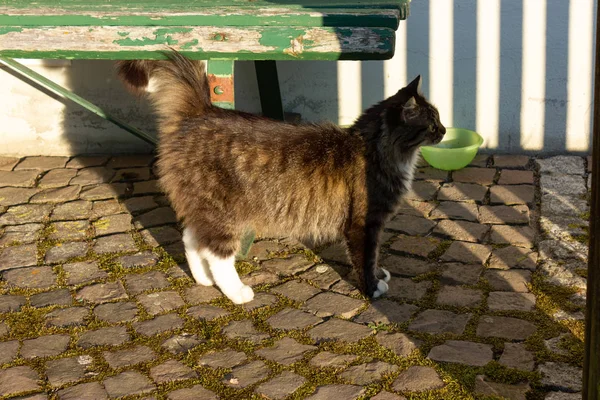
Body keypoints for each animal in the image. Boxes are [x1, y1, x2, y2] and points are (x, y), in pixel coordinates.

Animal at [117, 53, 446, 304]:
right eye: (432, 124)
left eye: (439, 119)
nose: (444, 131)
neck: (376, 148)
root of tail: (201, 111)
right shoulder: (364, 224)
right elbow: (365, 258)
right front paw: (372, 287)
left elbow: (373, 257)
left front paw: (378, 275)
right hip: (224, 213)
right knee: (216, 254)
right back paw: (237, 292)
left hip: (205, 209)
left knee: (190, 239)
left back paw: (204, 280)